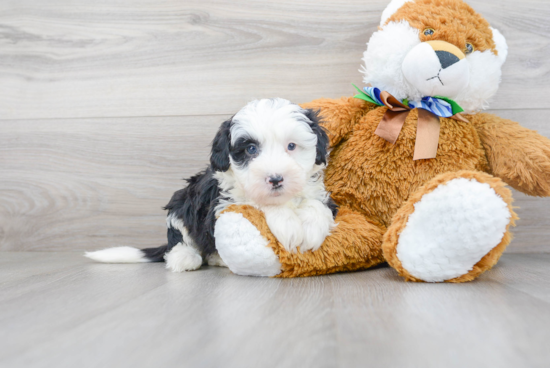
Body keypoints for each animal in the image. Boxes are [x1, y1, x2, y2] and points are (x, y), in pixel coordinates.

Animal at [85, 99, 336, 272]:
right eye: (250, 149)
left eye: (291, 146)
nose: (275, 179)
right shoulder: (220, 204)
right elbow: (256, 202)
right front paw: (288, 225)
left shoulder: (321, 194)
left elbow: (316, 204)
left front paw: (313, 228)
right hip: (182, 202)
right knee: (180, 237)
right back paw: (185, 258)